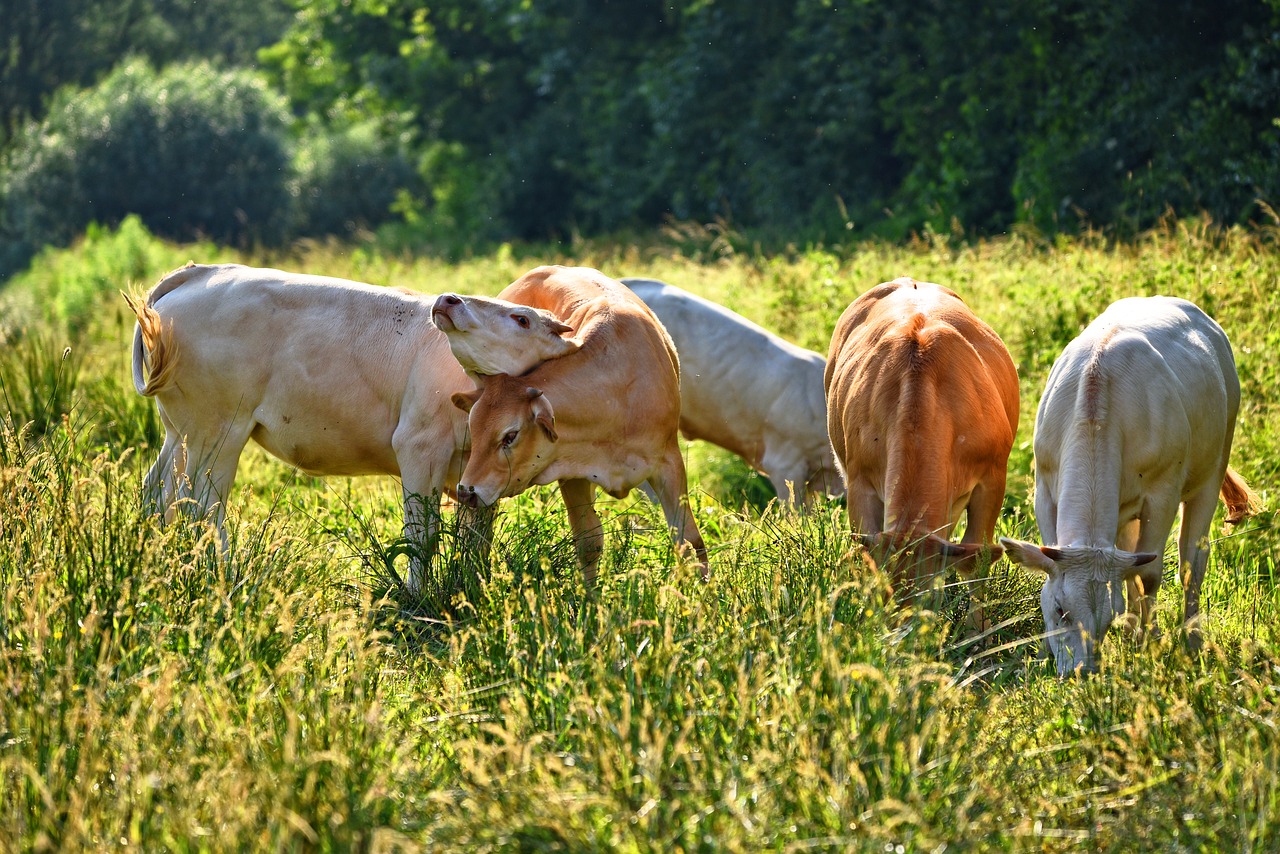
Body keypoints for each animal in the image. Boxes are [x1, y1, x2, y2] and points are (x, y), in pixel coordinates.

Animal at [124, 262, 491, 594]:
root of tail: (201, 271)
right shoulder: (420, 447)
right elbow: (422, 533)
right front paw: (418, 595)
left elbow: (477, 537)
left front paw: (478, 585)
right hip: (216, 431)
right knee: (201, 505)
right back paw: (223, 575)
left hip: (181, 433)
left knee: (158, 493)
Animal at [448, 265, 711, 588]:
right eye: (473, 427)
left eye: (510, 435)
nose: (466, 491)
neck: (616, 393)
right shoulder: (572, 473)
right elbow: (589, 543)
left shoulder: (669, 463)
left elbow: (689, 541)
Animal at [829, 277, 1018, 617]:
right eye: (884, 595)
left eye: (930, 596)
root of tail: (910, 281)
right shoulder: (859, 483)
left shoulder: (993, 480)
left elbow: (978, 561)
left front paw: (978, 626)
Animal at [993, 297, 1254, 676]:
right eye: (1060, 610)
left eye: (1106, 619)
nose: (1082, 671)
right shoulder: (1045, 488)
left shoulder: (1163, 494)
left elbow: (1149, 574)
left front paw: (1149, 643)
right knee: (1131, 557)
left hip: (1214, 465)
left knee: (1192, 561)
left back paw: (1189, 639)